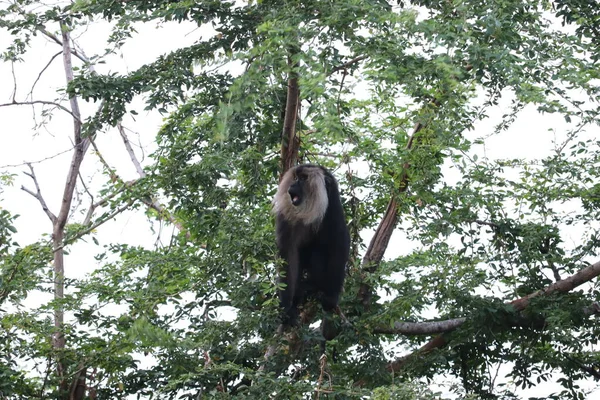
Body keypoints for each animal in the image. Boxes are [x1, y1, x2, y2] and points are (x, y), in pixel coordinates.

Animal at [274, 164, 352, 340]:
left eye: (303, 179)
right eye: (296, 178)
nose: (292, 185)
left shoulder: (332, 209)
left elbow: (339, 247)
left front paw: (331, 297)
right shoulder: (287, 219)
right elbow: (288, 253)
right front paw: (288, 308)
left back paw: (313, 286)